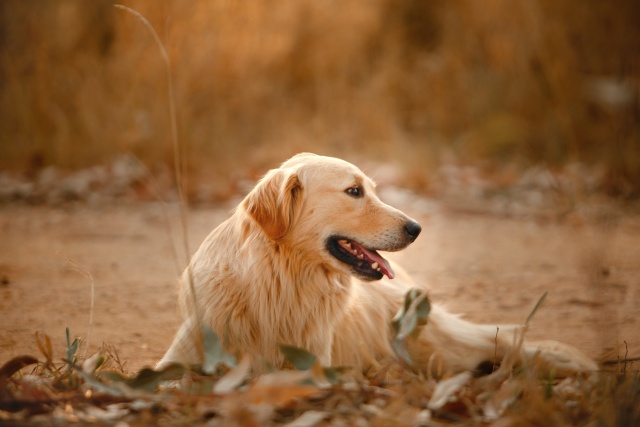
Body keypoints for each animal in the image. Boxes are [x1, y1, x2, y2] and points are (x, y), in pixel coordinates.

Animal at [158, 152, 596, 376]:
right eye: (354, 192)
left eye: (370, 188)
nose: (417, 228)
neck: (280, 281)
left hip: (435, 343)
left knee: (503, 339)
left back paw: (567, 362)